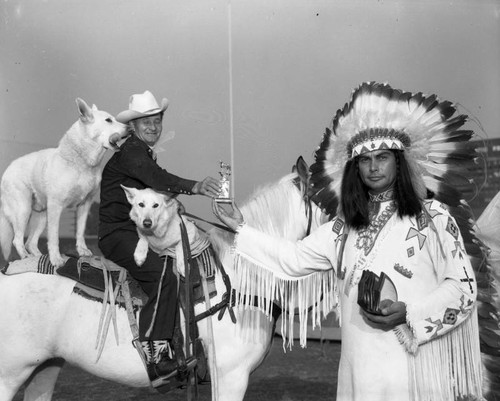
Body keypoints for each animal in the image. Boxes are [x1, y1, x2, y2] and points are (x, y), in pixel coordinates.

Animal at [0, 97, 128, 268]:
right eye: (108, 120)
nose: (130, 128)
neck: (82, 162)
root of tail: (8, 170)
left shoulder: (84, 205)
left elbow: (80, 232)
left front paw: (82, 251)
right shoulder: (56, 207)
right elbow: (54, 238)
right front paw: (56, 259)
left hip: (41, 216)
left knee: (30, 243)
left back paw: (38, 259)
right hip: (23, 211)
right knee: (17, 240)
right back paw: (26, 257)